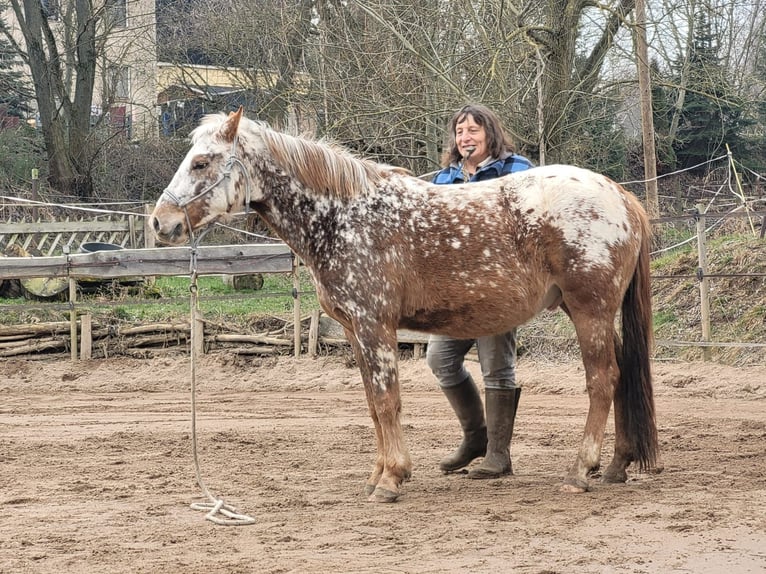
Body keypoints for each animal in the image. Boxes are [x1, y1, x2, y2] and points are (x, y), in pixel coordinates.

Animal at [150, 107, 658, 503]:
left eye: (201, 162)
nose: (161, 222)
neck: (343, 216)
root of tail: (621, 195)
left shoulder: (375, 326)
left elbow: (387, 400)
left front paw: (391, 479)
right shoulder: (355, 331)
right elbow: (374, 406)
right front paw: (380, 473)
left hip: (590, 309)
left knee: (602, 381)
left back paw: (581, 471)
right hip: (592, 312)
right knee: (623, 375)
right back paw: (617, 465)